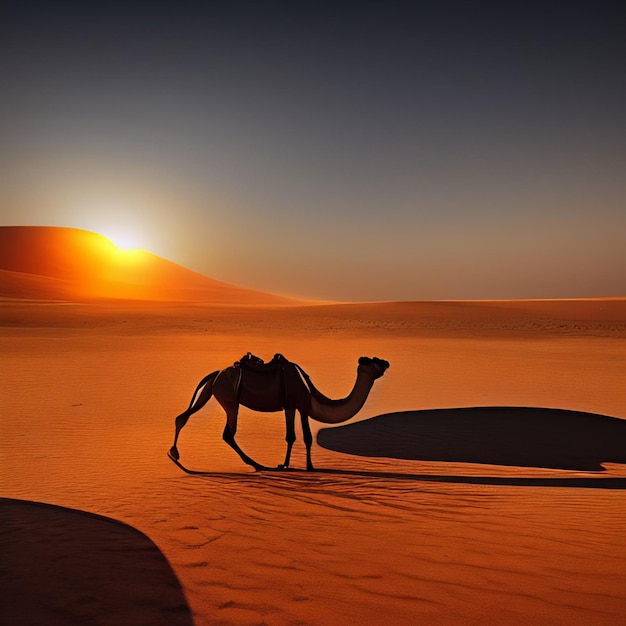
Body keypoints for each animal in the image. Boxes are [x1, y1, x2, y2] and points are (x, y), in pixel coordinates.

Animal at [168, 352, 388, 468]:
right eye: (373, 361)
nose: (387, 362)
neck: (310, 392)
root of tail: (216, 373)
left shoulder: (300, 407)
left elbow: (306, 437)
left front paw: (306, 466)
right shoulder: (292, 404)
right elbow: (293, 436)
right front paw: (287, 465)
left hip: (213, 391)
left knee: (183, 417)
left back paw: (174, 453)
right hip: (230, 400)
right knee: (228, 433)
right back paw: (255, 464)